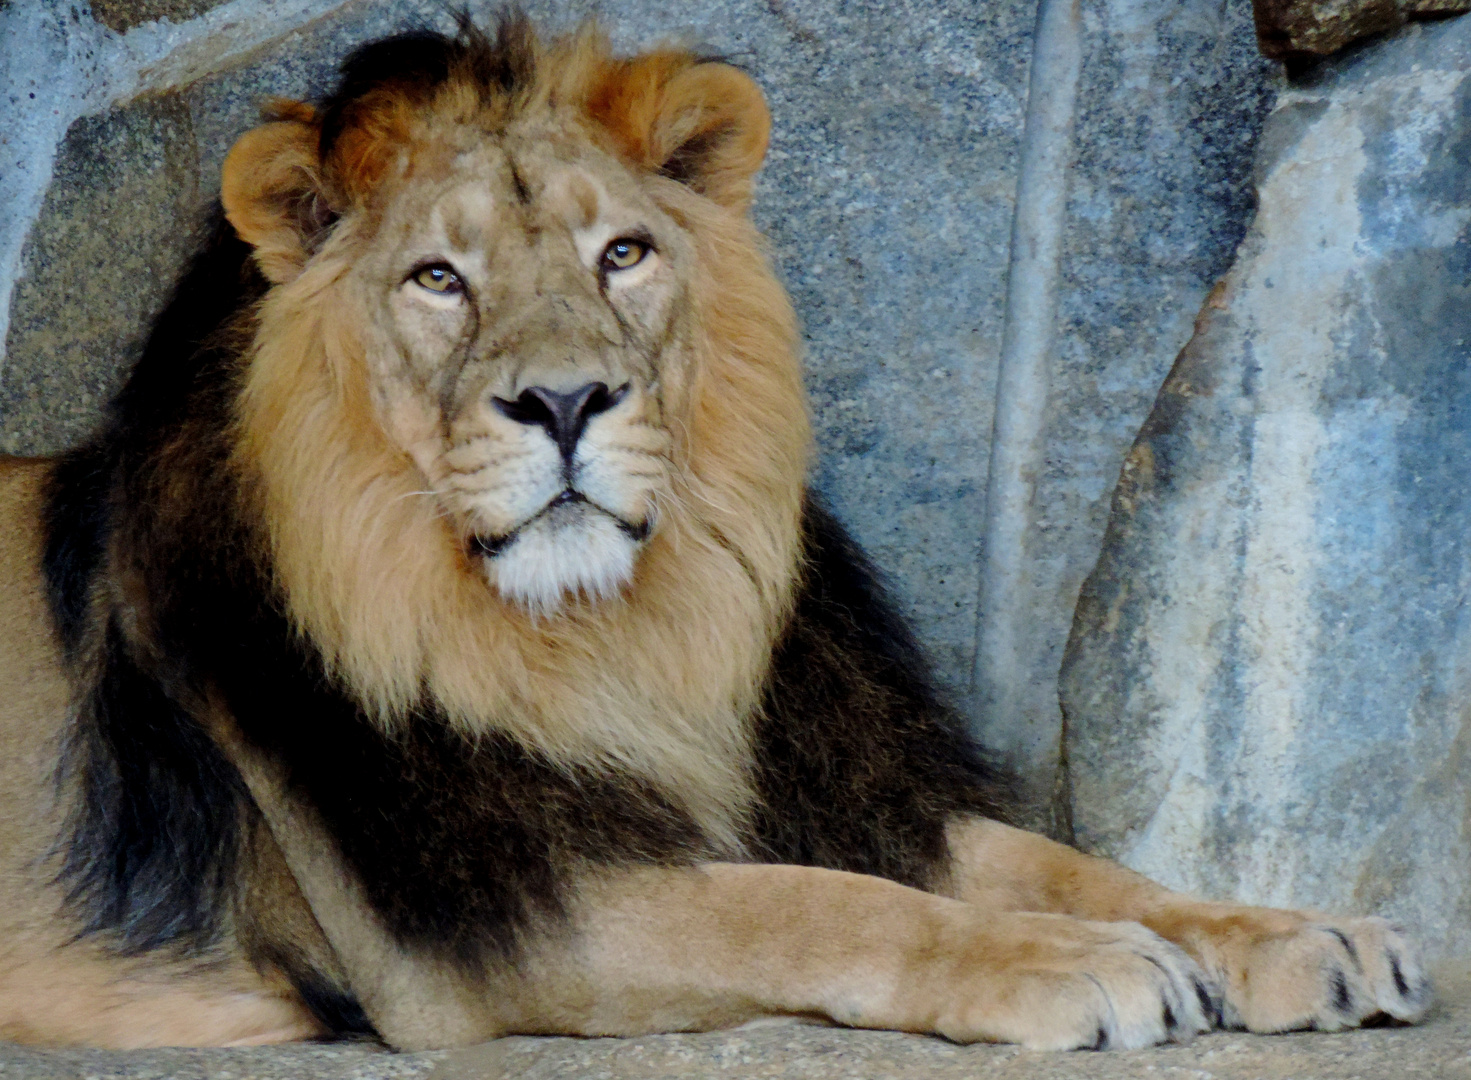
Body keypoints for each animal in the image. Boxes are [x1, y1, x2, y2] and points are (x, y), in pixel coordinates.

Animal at [0, 12, 1429, 1053]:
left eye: (622, 255)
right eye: (438, 280)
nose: (565, 401)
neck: (618, 645)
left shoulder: (838, 783)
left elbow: (1066, 862)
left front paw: (1286, 932)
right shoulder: (480, 924)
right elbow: (808, 909)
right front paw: (1062, 963)